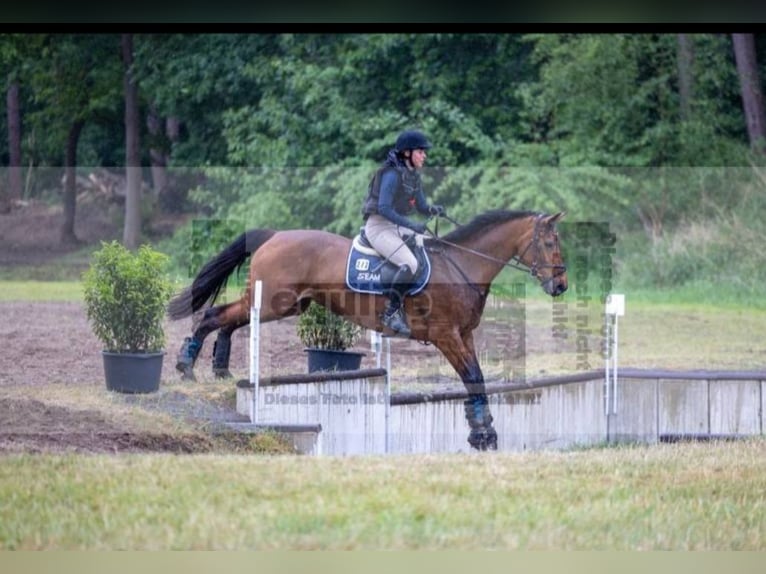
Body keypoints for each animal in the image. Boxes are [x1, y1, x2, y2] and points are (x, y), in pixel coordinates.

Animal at [167, 209, 568, 451]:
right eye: (550, 243)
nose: (561, 286)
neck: (461, 266)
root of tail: (275, 234)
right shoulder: (446, 336)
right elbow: (473, 377)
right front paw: (483, 434)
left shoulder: (463, 335)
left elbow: (476, 379)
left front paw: (480, 430)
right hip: (274, 302)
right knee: (216, 314)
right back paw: (187, 365)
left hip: (284, 304)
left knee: (232, 318)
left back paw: (219, 366)